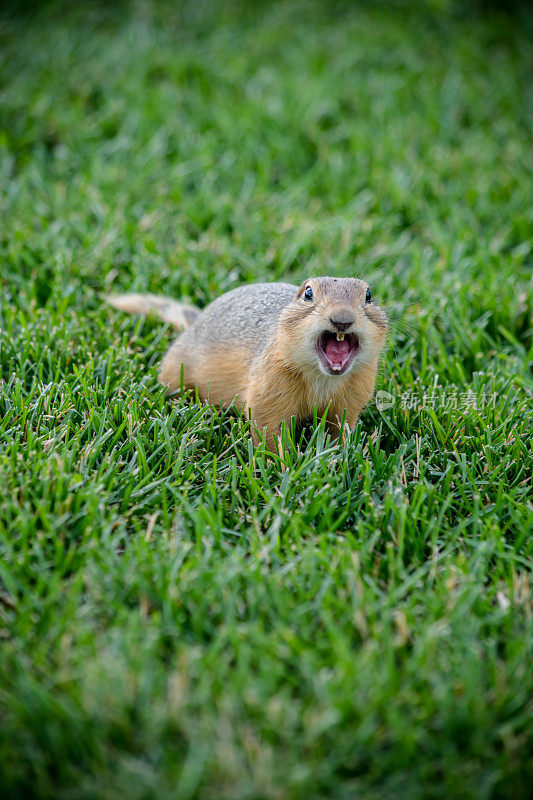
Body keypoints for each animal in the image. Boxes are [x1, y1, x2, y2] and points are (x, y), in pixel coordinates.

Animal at [108, 278, 388, 444]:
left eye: (369, 295)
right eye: (308, 293)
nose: (342, 320)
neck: (323, 377)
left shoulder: (350, 398)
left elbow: (339, 428)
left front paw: (338, 457)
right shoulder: (269, 389)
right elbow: (269, 430)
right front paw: (280, 466)